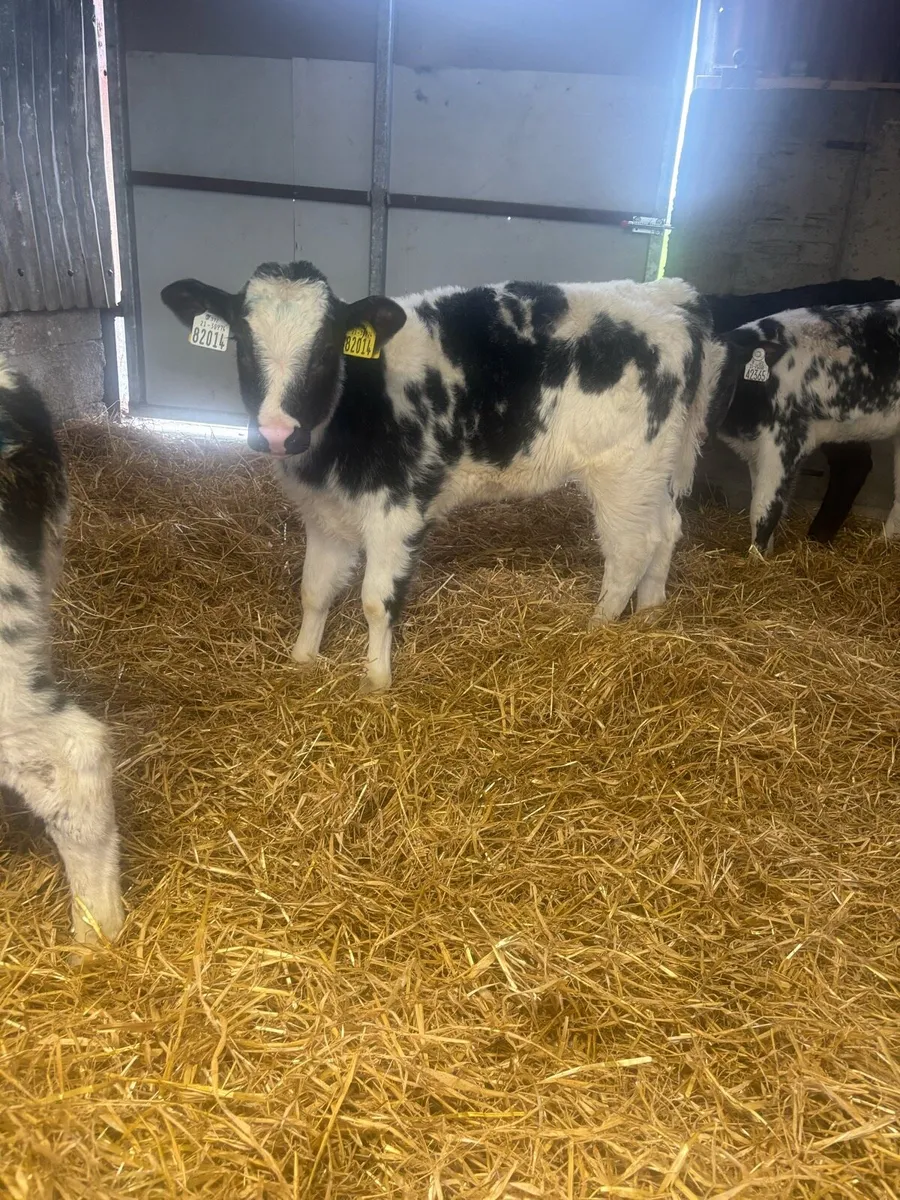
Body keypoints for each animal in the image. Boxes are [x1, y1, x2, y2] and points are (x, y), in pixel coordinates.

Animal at [162, 261, 730, 691]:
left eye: (324, 349)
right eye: (240, 341)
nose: (278, 433)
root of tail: (669, 294)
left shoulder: (397, 509)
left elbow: (375, 600)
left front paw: (376, 682)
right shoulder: (324, 514)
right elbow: (314, 590)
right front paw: (303, 659)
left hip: (623, 471)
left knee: (631, 549)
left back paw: (597, 628)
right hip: (652, 472)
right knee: (667, 530)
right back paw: (651, 614)